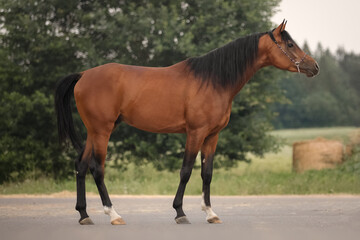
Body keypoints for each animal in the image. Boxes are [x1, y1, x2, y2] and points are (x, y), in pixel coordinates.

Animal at [54, 20, 320, 225]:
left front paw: (211, 213)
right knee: (97, 168)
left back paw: (84, 215)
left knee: (80, 165)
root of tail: (83, 75)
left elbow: (207, 173)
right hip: (102, 131)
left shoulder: (212, 136)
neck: (213, 80)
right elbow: (186, 171)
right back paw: (113, 215)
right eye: (289, 44)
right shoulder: (195, 133)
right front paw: (180, 212)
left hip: (94, 131)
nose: (314, 66)